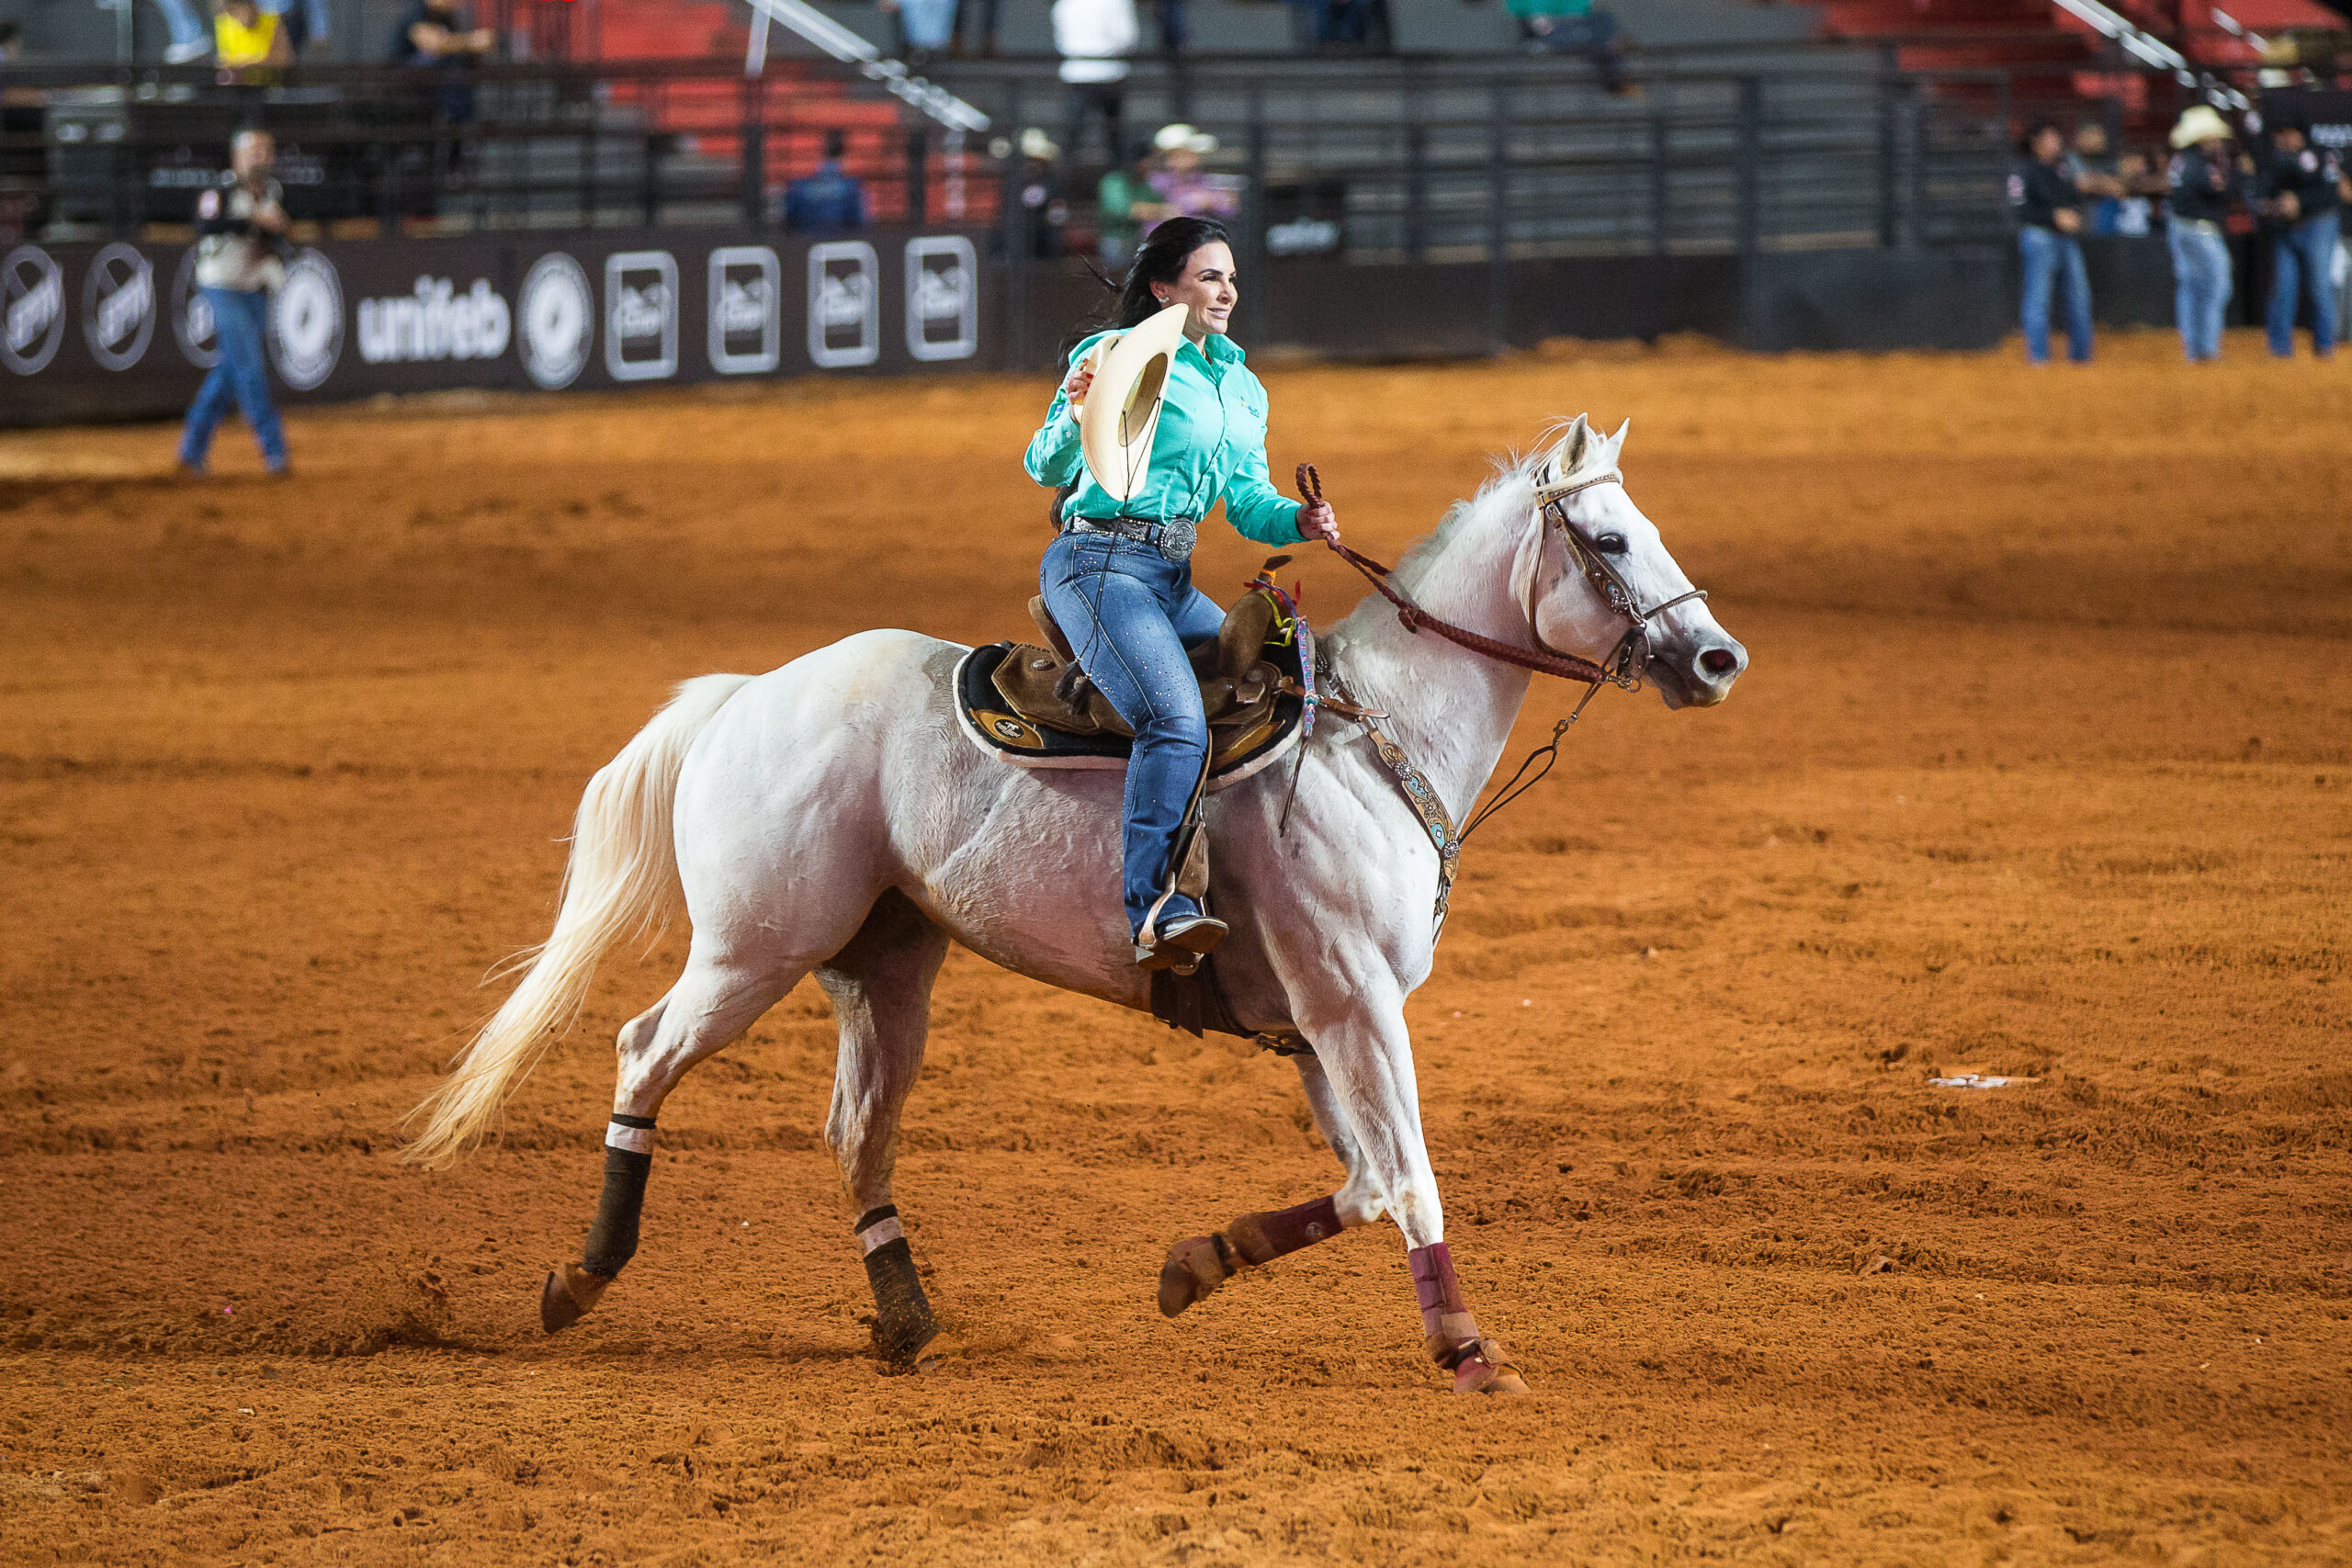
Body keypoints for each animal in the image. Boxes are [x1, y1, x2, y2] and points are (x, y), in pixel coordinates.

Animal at [409, 413, 1749, 1401]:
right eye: (1612, 539)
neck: (1374, 737)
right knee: (644, 1053)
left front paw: (1194, 1265)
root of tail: (746, 694)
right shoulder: (1355, 1002)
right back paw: (584, 1277)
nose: (1719, 659)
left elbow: (1369, 1179)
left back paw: (909, 1320)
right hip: (752, 949)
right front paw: (1468, 1348)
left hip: (886, 968)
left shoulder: (1318, 1022)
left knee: (857, 1131)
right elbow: (1411, 1177)